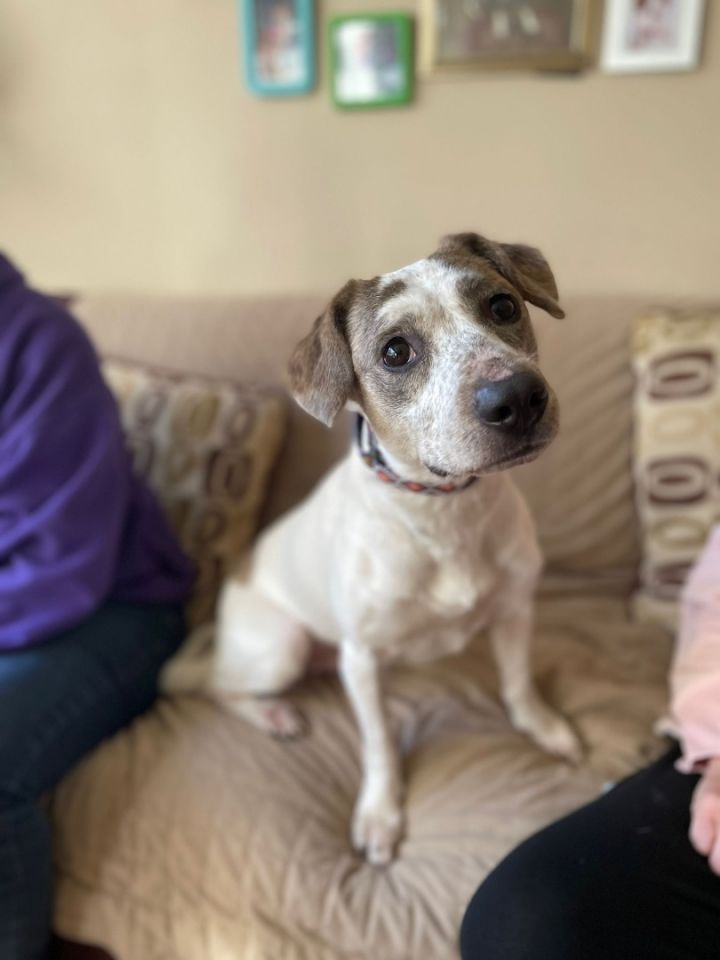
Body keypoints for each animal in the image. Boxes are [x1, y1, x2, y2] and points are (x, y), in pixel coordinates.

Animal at [162, 231, 580, 864]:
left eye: (504, 306)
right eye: (396, 351)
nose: (519, 396)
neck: (442, 510)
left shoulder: (514, 610)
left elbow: (517, 684)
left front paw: (543, 726)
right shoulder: (360, 658)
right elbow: (380, 742)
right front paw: (381, 812)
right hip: (281, 647)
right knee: (217, 687)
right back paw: (273, 713)